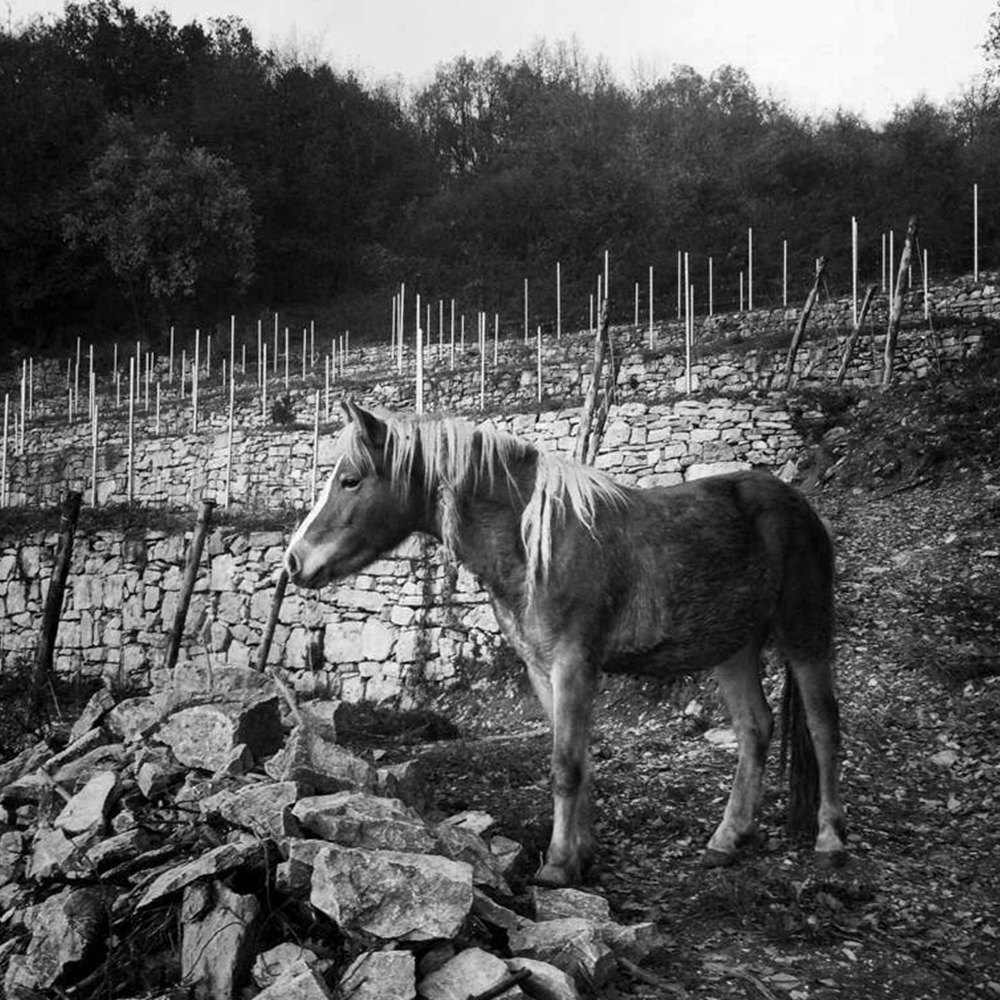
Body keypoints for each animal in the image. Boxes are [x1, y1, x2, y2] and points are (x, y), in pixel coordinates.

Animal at [286, 402, 848, 888]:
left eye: (350, 480)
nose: (294, 560)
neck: (536, 541)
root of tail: (797, 504)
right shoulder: (542, 669)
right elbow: (574, 756)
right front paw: (582, 853)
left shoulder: (574, 664)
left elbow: (566, 765)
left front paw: (557, 864)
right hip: (734, 647)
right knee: (755, 729)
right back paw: (727, 839)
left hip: (804, 632)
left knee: (823, 725)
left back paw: (830, 840)